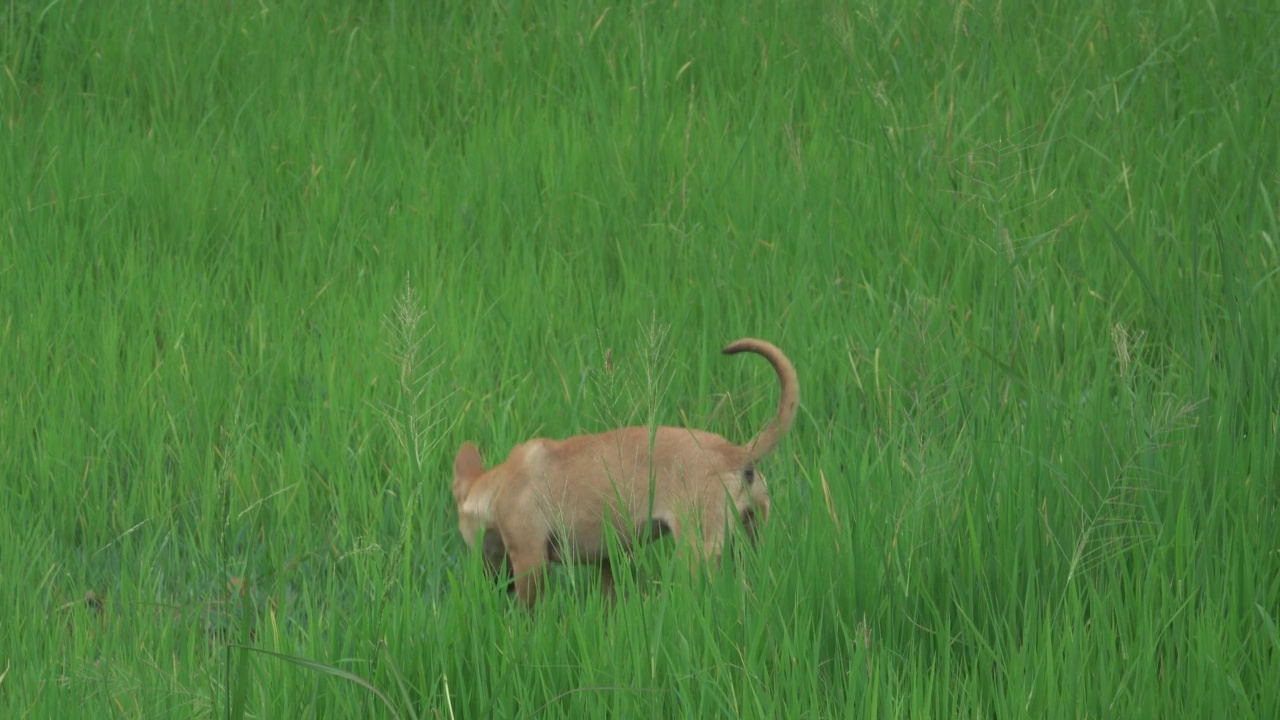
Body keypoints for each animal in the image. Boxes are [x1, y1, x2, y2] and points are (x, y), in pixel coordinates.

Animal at [448, 338, 788, 604]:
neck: (495, 487)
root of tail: (736, 452)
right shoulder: (609, 559)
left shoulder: (530, 558)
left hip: (696, 550)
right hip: (752, 539)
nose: (492, 585)